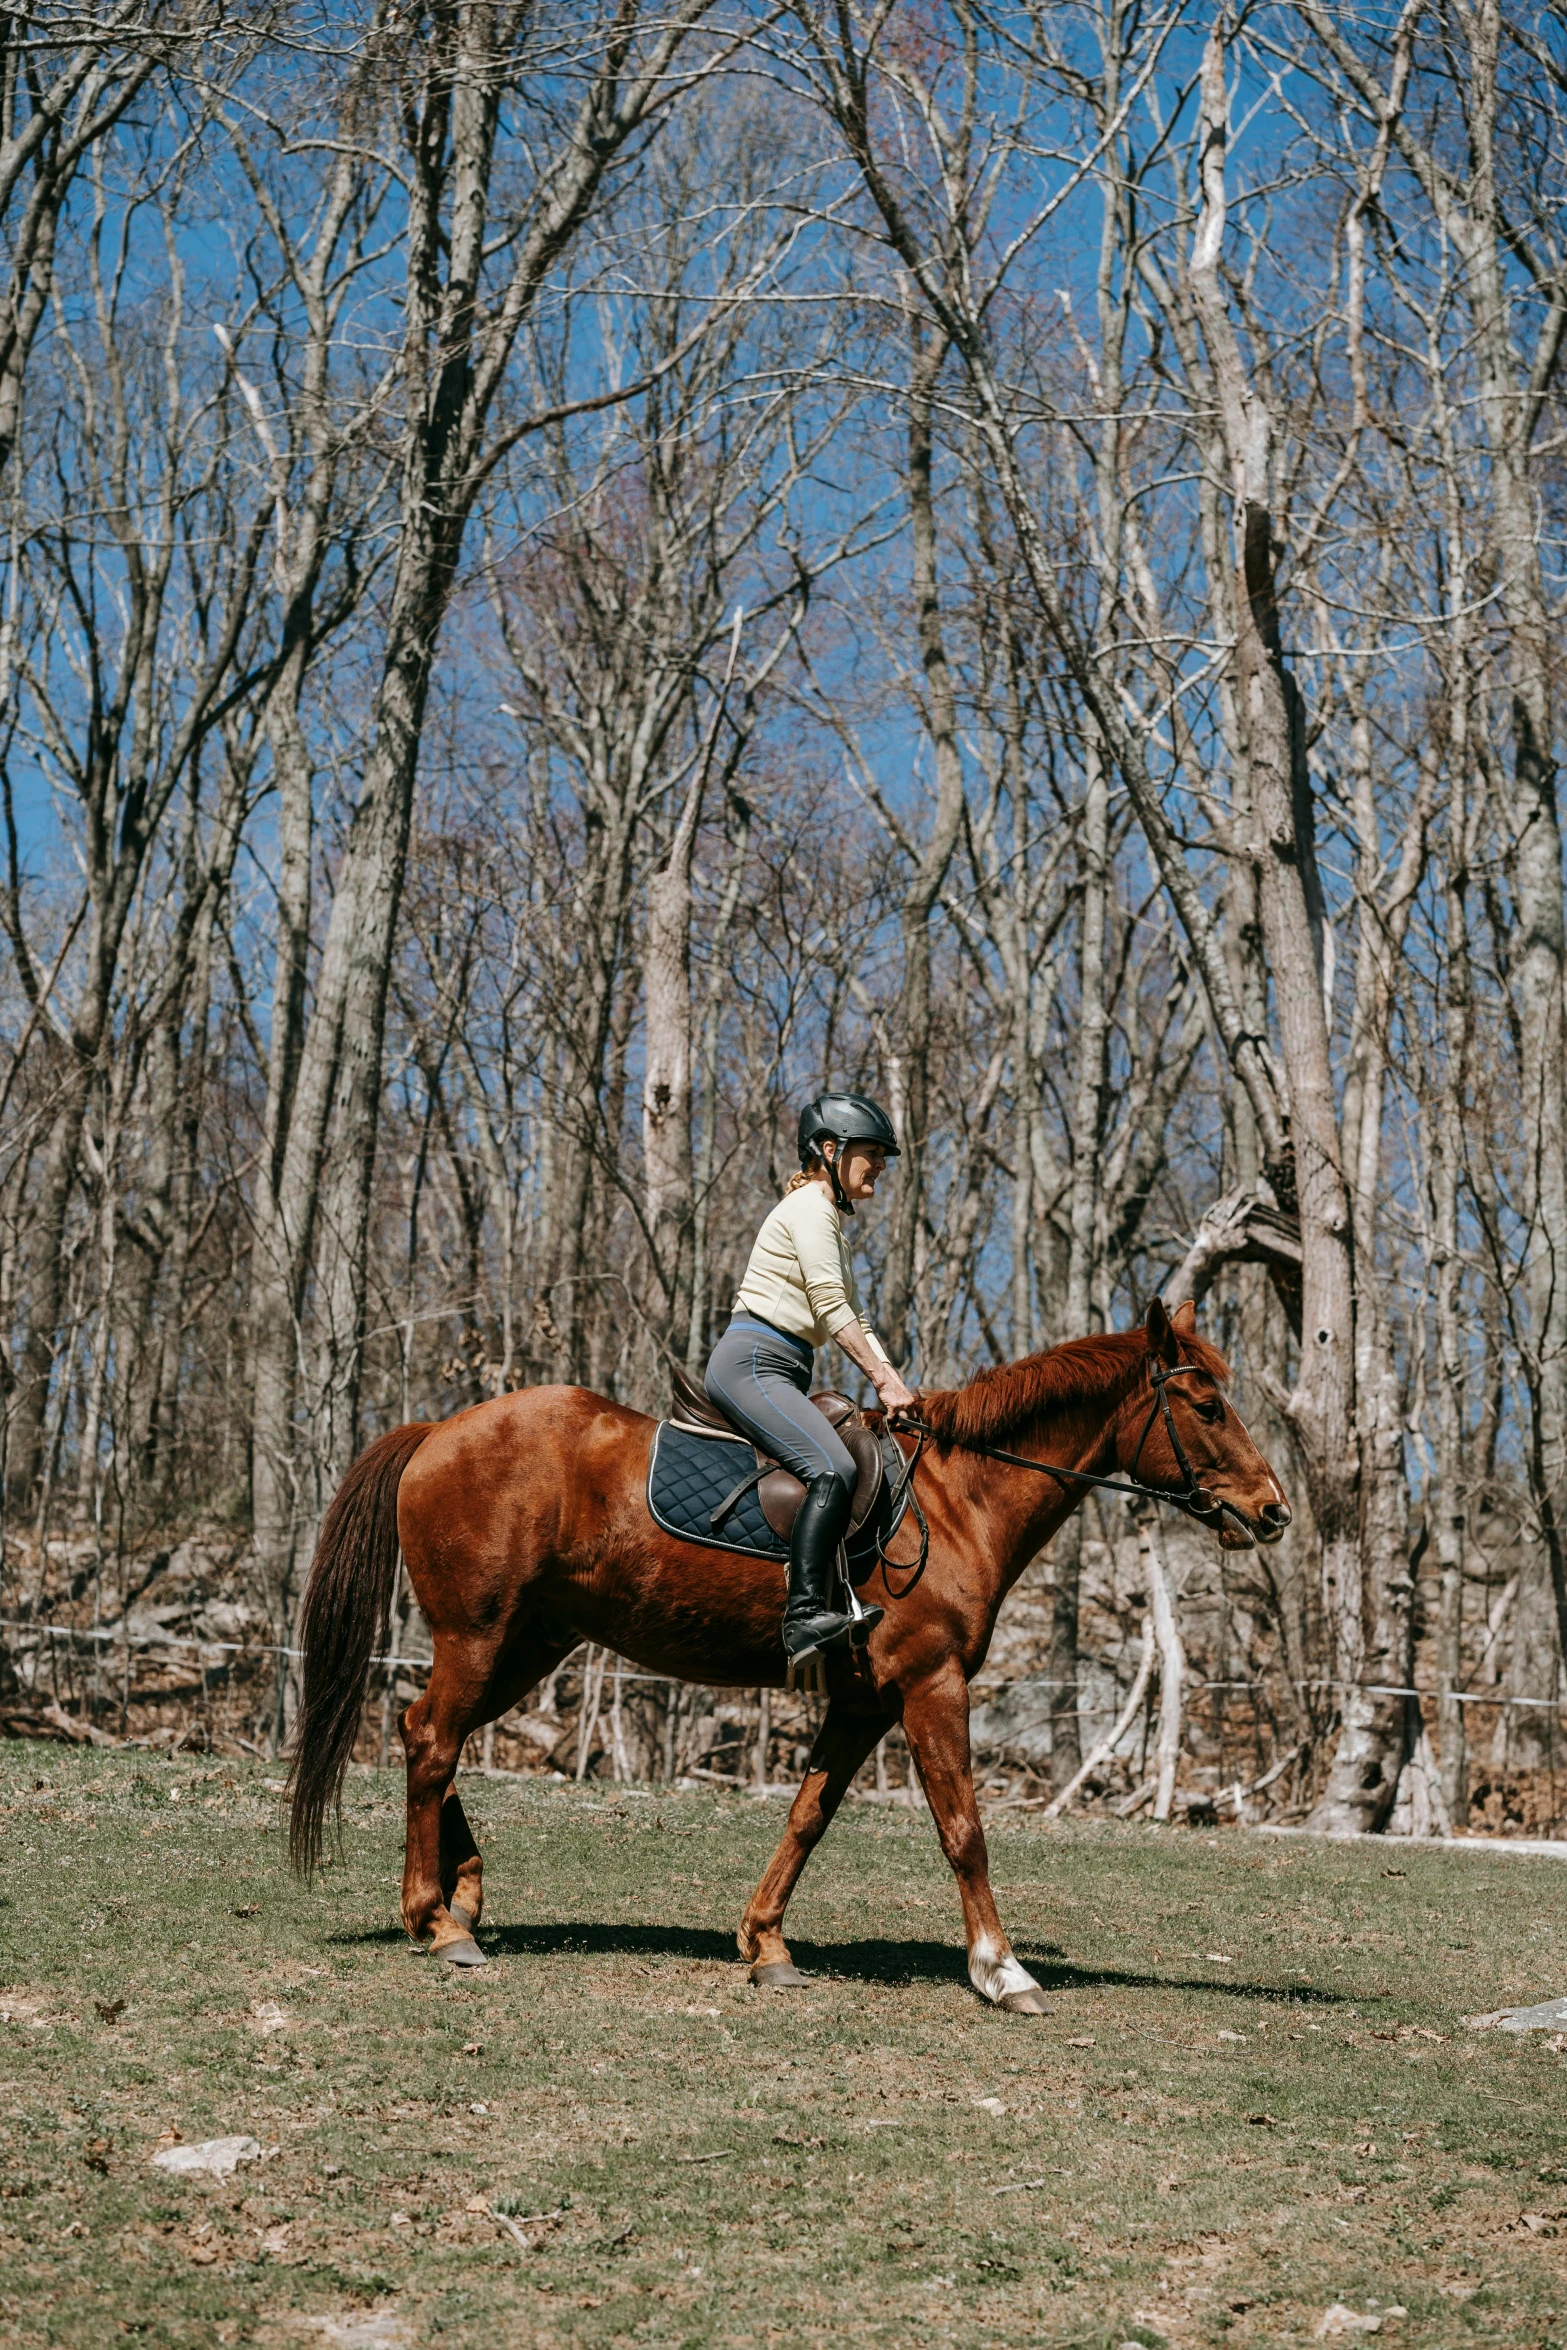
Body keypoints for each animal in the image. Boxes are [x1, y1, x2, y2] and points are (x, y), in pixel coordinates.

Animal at [287, 1297, 1296, 2011]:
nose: (1271, 1511)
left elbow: (807, 1818)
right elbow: (963, 1830)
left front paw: (765, 1944)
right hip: (479, 1633)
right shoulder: (931, 1687)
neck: (955, 1498)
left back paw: (461, 1896)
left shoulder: (864, 1702)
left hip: (530, 1643)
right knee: (431, 1741)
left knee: (429, 1735)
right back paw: (436, 1923)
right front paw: (1001, 1971)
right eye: (1206, 1406)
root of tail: (438, 1431)